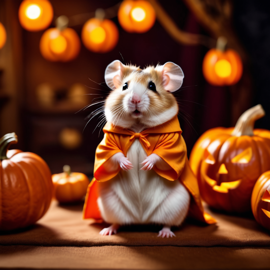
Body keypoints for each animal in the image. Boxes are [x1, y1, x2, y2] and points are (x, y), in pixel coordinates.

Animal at [92, 60, 191, 237]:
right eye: (125, 86)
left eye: (152, 86)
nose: (135, 100)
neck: (138, 129)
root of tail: (141, 219)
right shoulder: (107, 144)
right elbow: (112, 154)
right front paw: (127, 164)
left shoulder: (173, 145)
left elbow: (161, 155)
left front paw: (145, 164)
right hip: (109, 204)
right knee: (118, 222)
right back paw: (107, 231)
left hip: (177, 204)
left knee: (168, 223)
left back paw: (165, 233)